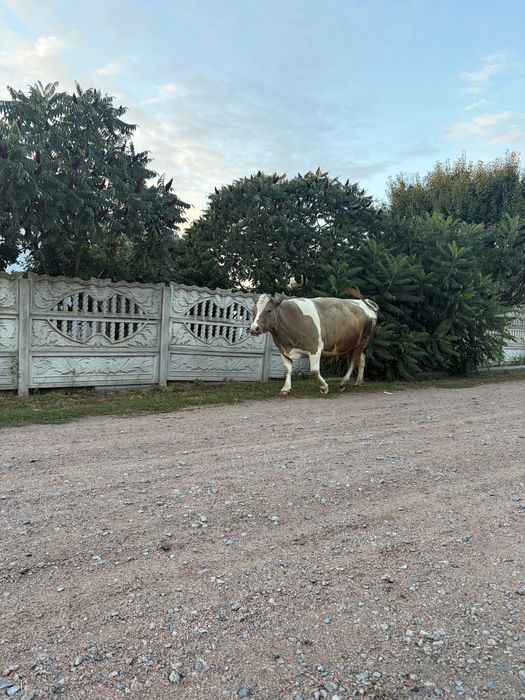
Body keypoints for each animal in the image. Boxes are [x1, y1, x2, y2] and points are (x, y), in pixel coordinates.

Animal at [249, 291, 379, 395]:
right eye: (253, 311)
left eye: (269, 310)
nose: (254, 328)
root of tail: (365, 302)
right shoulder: (283, 350)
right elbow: (288, 369)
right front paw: (285, 389)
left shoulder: (315, 348)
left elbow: (314, 371)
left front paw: (324, 387)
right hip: (349, 344)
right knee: (361, 359)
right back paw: (358, 382)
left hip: (362, 341)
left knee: (353, 361)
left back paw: (343, 383)